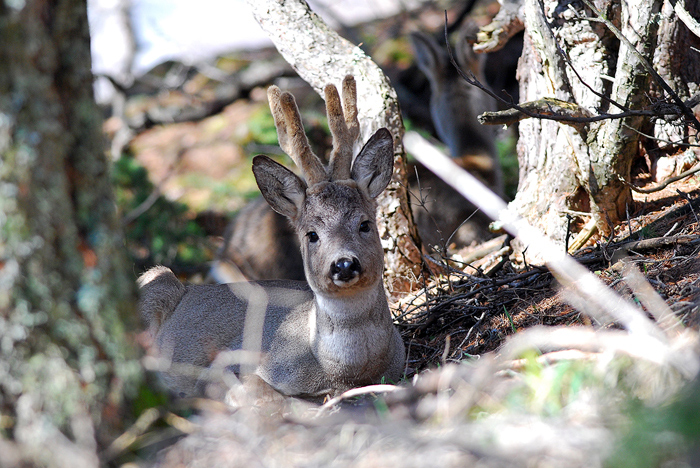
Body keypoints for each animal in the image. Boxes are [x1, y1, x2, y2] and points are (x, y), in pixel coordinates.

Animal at [138, 77, 404, 398]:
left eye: (364, 224)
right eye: (311, 235)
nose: (344, 264)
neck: (344, 372)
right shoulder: (224, 364)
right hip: (154, 282)